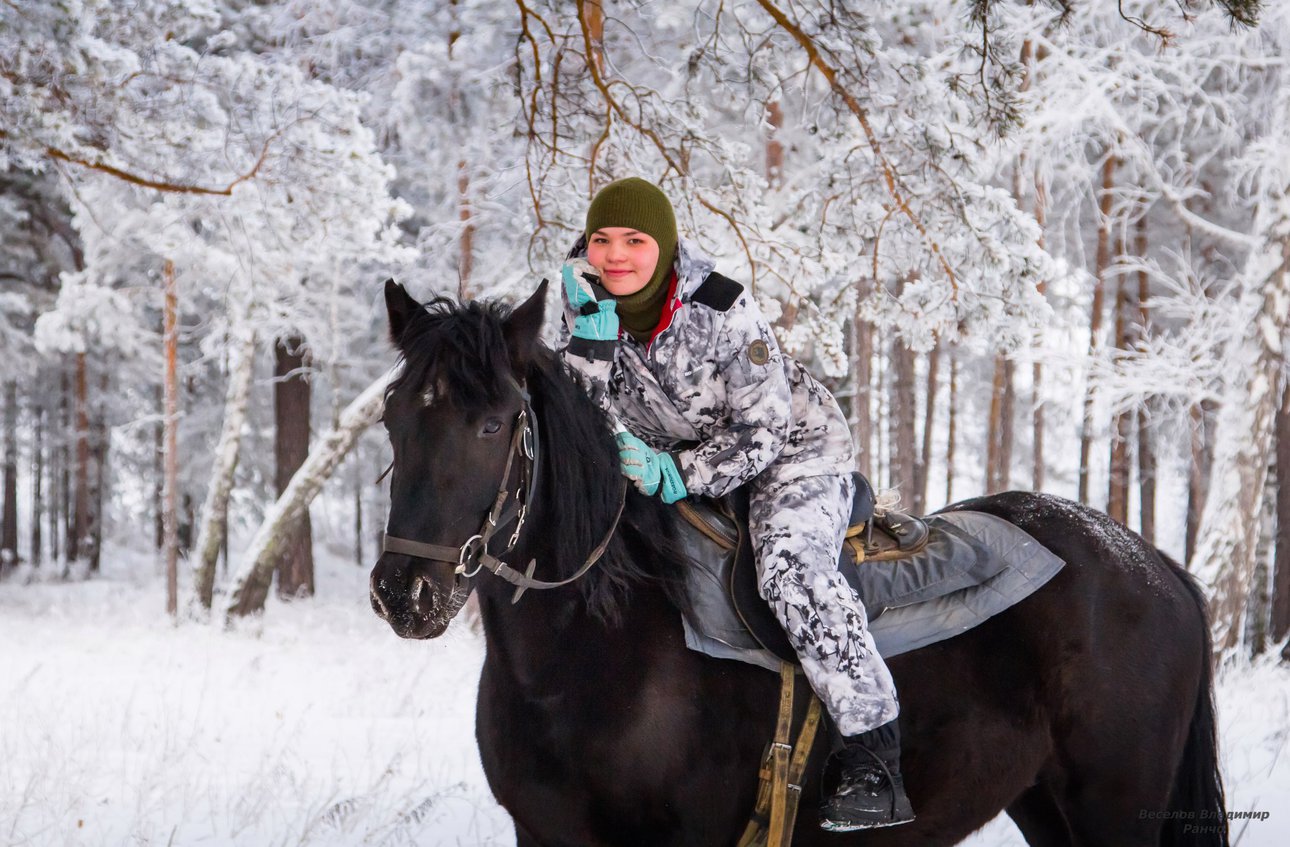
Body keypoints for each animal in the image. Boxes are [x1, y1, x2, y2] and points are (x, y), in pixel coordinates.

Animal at [368, 279, 1222, 845]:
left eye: (493, 423)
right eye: (393, 416)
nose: (404, 591)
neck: (592, 654)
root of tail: (1157, 566)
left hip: (1114, 809)